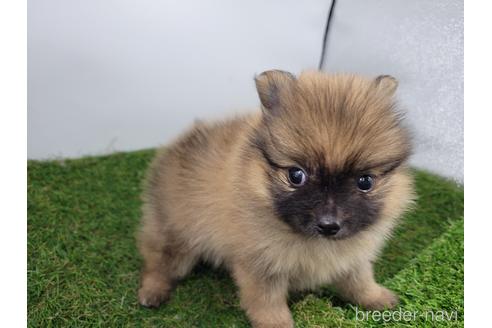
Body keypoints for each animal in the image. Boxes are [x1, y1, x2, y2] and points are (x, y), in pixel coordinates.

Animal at [137, 70, 416, 328]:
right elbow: (268, 304)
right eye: (296, 175)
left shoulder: (353, 258)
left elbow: (359, 281)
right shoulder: (261, 266)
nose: (329, 225)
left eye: (365, 181)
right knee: (159, 263)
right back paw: (152, 291)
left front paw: (377, 298)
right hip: (175, 233)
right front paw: (278, 323)